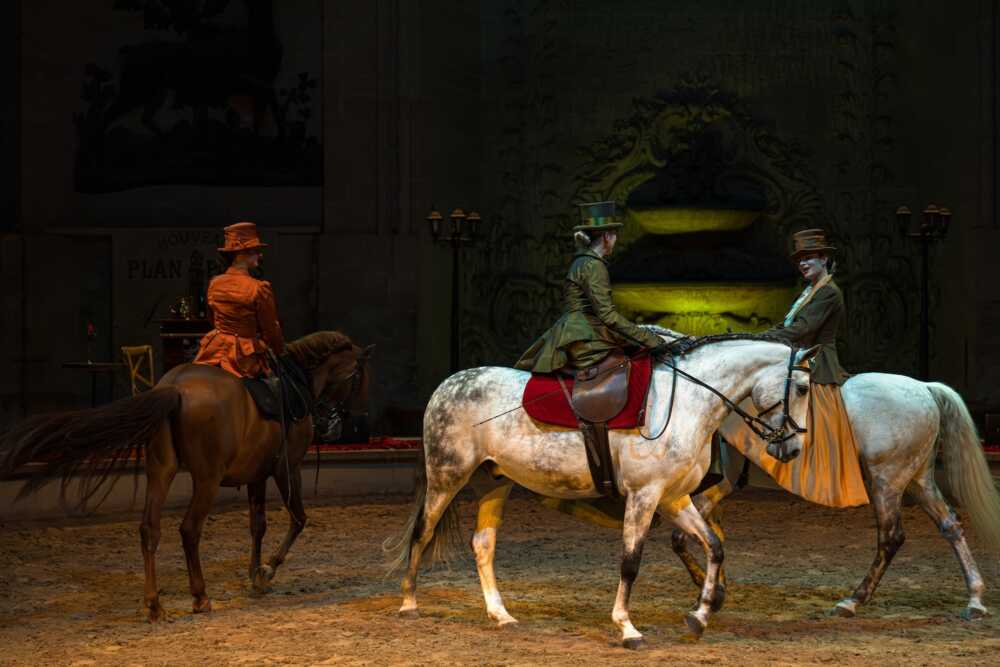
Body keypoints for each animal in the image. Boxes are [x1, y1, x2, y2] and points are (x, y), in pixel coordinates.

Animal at [0, 332, 372, 624]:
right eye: (358, 378)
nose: (341, 423)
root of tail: (175, 388)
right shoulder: (286, 469)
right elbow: (298, 518)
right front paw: (267, 570)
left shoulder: (257, 475)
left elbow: (258, 525)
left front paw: (255, 575)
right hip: (207, 479)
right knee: (190, 530)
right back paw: (200, 597)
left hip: (160, 471)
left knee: (149, 529)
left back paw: (154, 605)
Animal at [386, 336, 816, 648]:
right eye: (802, 387)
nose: (793, 449)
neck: (685, 403)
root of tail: (447, 386)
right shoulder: (644, 496)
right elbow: (631, 561)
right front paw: (627, 628)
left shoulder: (673, 498)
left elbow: (713, 546)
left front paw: (699, 616)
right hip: (447, 475)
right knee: (423, 531)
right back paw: (408, 603)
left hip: (496, 481)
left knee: (483, 544)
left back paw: (500, 614)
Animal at [672, 370, 1000, 620]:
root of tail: (925, 387)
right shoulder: (716, 489)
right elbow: (710, 534)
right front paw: (715, 591)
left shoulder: (709, 485)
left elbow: (684, 537)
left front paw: (708, 592)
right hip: (918, 479)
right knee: (950, 526)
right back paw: (975, 600)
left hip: (887, 480)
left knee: (891, 537)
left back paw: (852, 601)